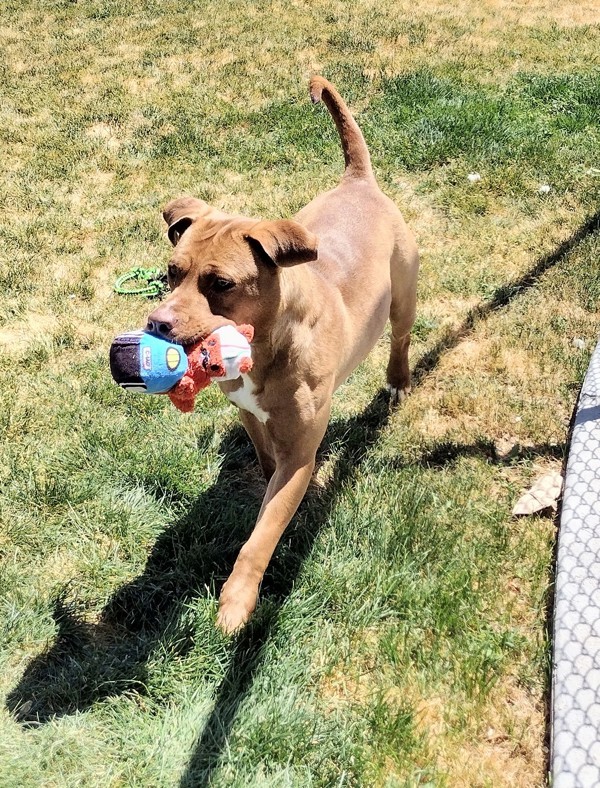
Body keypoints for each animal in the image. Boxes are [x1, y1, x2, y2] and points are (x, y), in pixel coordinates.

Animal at [146, 77, 418, 636]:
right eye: (171, 272)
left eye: (221, 284)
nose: (157, 324)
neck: (266, 345)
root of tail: (358, 181)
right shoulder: (250, 414)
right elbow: (264, 459)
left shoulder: (299, 457)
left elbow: (263, 533)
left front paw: (237, 599)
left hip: (404, 296)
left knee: (401, 338)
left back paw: (399, 377)